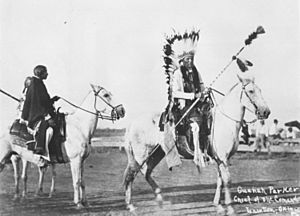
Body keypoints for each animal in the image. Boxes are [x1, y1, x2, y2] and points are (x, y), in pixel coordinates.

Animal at [123, 72, 270, 214]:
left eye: (260, 90)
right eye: (251, 91)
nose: (266, 112)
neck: (225, 122)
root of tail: (132, 123)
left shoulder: (221, 160)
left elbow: (220, 181)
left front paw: (218, 206)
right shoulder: (223, 159)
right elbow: (227, 181)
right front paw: (230, 208)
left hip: (157, 153)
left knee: (146, 173)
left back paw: (159, 199)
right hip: (142, 155)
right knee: (131, 175)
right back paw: (131, 206)